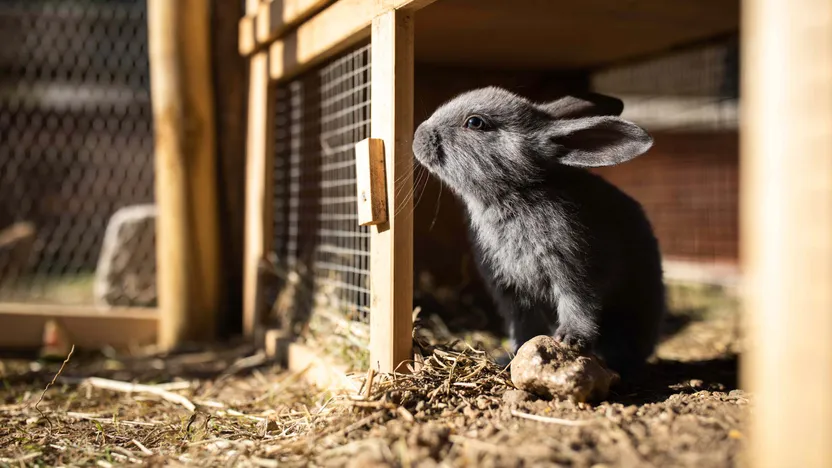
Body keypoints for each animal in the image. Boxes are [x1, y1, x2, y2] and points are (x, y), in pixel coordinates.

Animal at [411, 87, 665, 376]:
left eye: (475, 123)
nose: (418, 135)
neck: (514, 194)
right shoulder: (512, 294)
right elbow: (524, 328)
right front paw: (513, 355)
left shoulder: (575, 273)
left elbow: (579, 307)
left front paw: (570, 340)